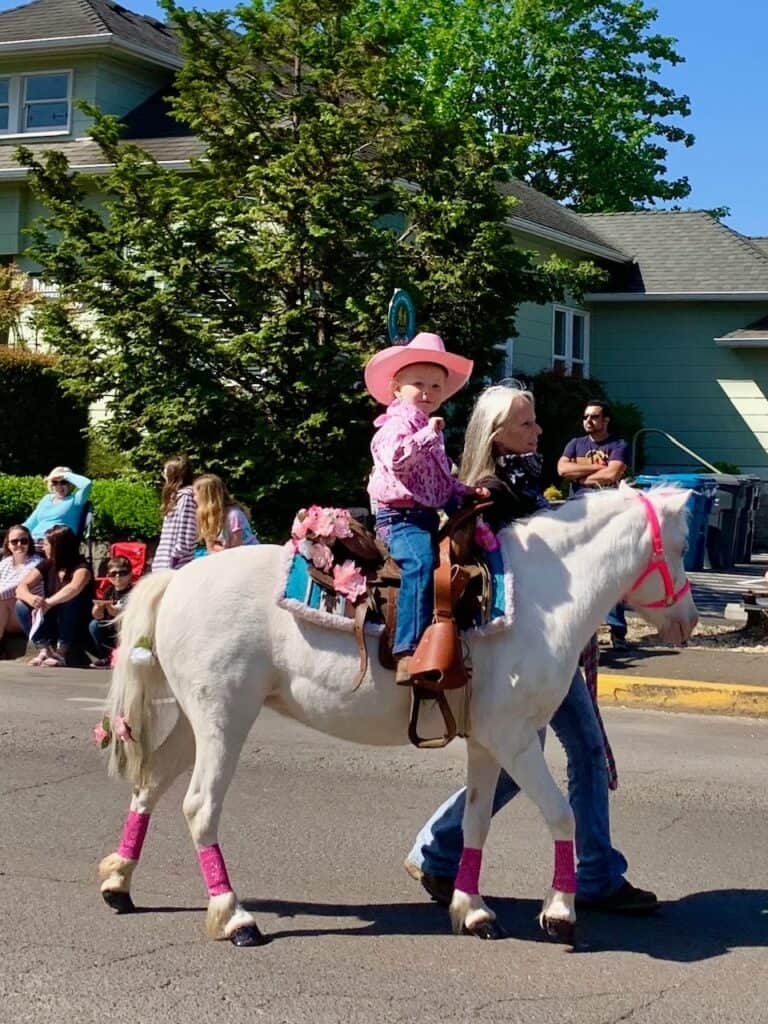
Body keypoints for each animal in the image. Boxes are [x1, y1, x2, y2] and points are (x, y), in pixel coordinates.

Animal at [96, 483, 696, 946]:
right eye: (684, 544)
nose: (689, 621)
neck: (539, 601)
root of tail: (178, 578)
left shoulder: (488, 742)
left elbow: (477, 820)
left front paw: (473, 910)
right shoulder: (515, 738)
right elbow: (560, 813)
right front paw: (561, 913)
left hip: (195, 721)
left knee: (150, 783)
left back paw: (119, 883)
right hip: (224, 719)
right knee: (199, 805)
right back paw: (234, 917)